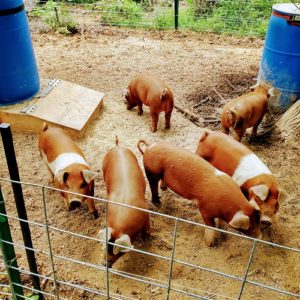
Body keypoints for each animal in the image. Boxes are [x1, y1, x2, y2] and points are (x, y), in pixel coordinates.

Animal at [99, 137, 149, 266]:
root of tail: (117, 147)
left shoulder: (145, 209)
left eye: (118, 253)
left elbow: (147, 227)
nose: (104, 263)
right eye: (106, 248)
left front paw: (147, 237)